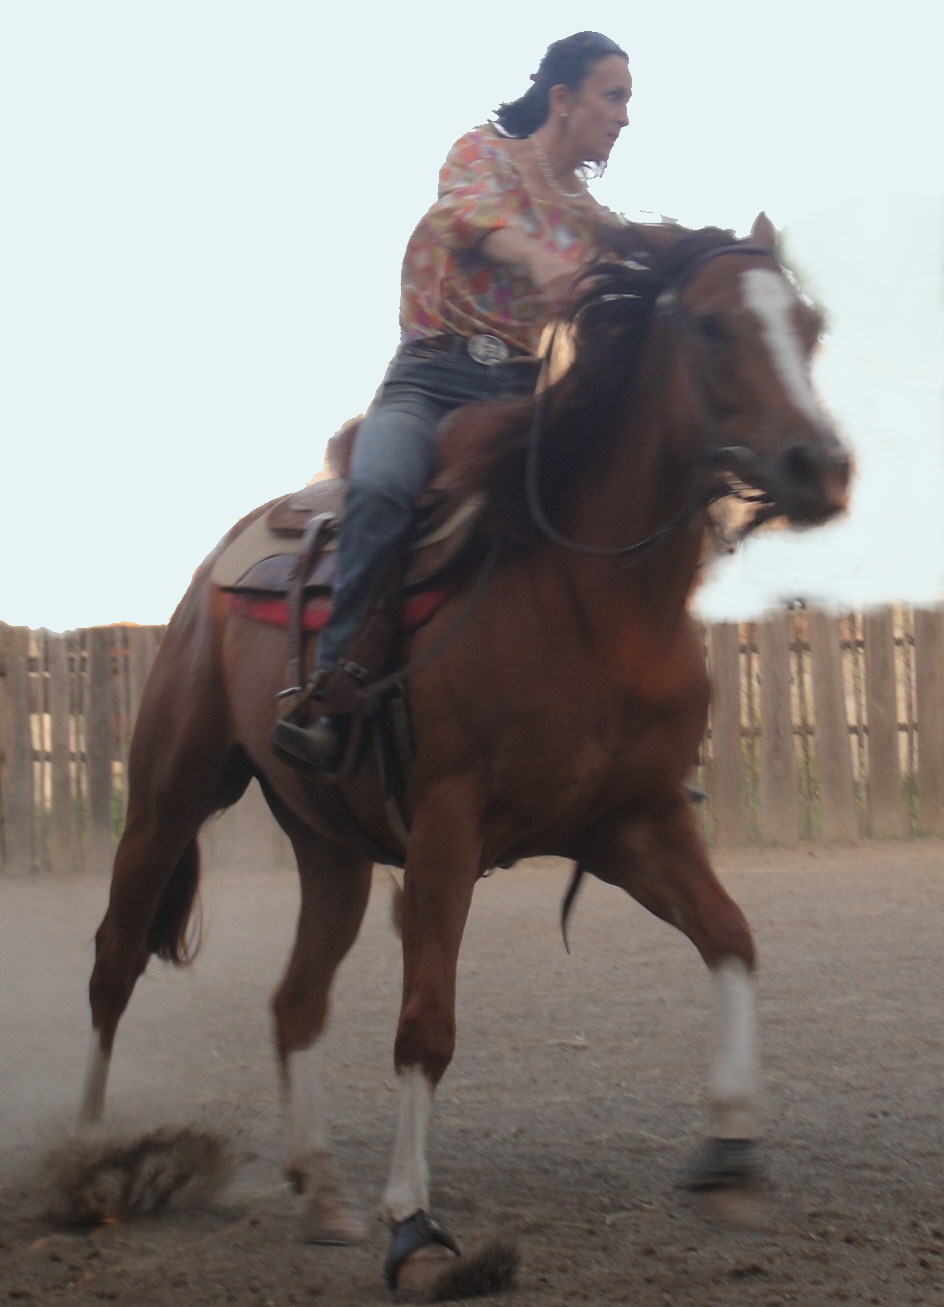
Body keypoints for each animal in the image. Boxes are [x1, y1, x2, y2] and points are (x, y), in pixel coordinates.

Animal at [79, 214, 847, 1286]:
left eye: (808, 327)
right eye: (710, 326)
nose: (819, 466)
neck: (589, 597)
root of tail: (216, 567)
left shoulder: (632, 824)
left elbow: (731, 937)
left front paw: (730, 1151)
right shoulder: (449, 827)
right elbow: (425, 1027)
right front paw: (414, 1220)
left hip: (332, 849)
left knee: (295, 999)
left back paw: (319, 1189)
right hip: (167, 794)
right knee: (114, 962)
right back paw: (88, 1163)